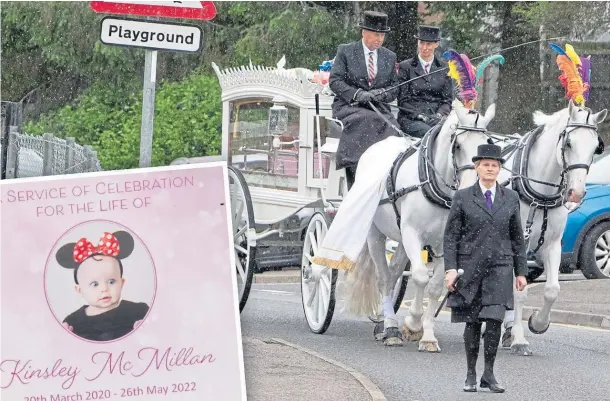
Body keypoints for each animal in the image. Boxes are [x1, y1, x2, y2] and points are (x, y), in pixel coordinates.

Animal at [342, 98, 494, 348]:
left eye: (487, 144)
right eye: (458, 145)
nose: (470, 186)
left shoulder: (445, 242)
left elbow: (435, 286)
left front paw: (428, 335)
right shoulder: (412, 233)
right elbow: (420, 276)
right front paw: (412, 324)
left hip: (401, 241)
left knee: (394, 273)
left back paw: (384, 321)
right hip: (375, 233)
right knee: (384, 278)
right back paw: (390, 328)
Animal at [496, 99, 604, 354]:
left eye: (595, 147)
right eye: (569, 142)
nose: (576, 193)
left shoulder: (553, 244)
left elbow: (552, 289)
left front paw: (537, 323)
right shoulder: (518, 245)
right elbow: (519, 291)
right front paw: (519, 340)